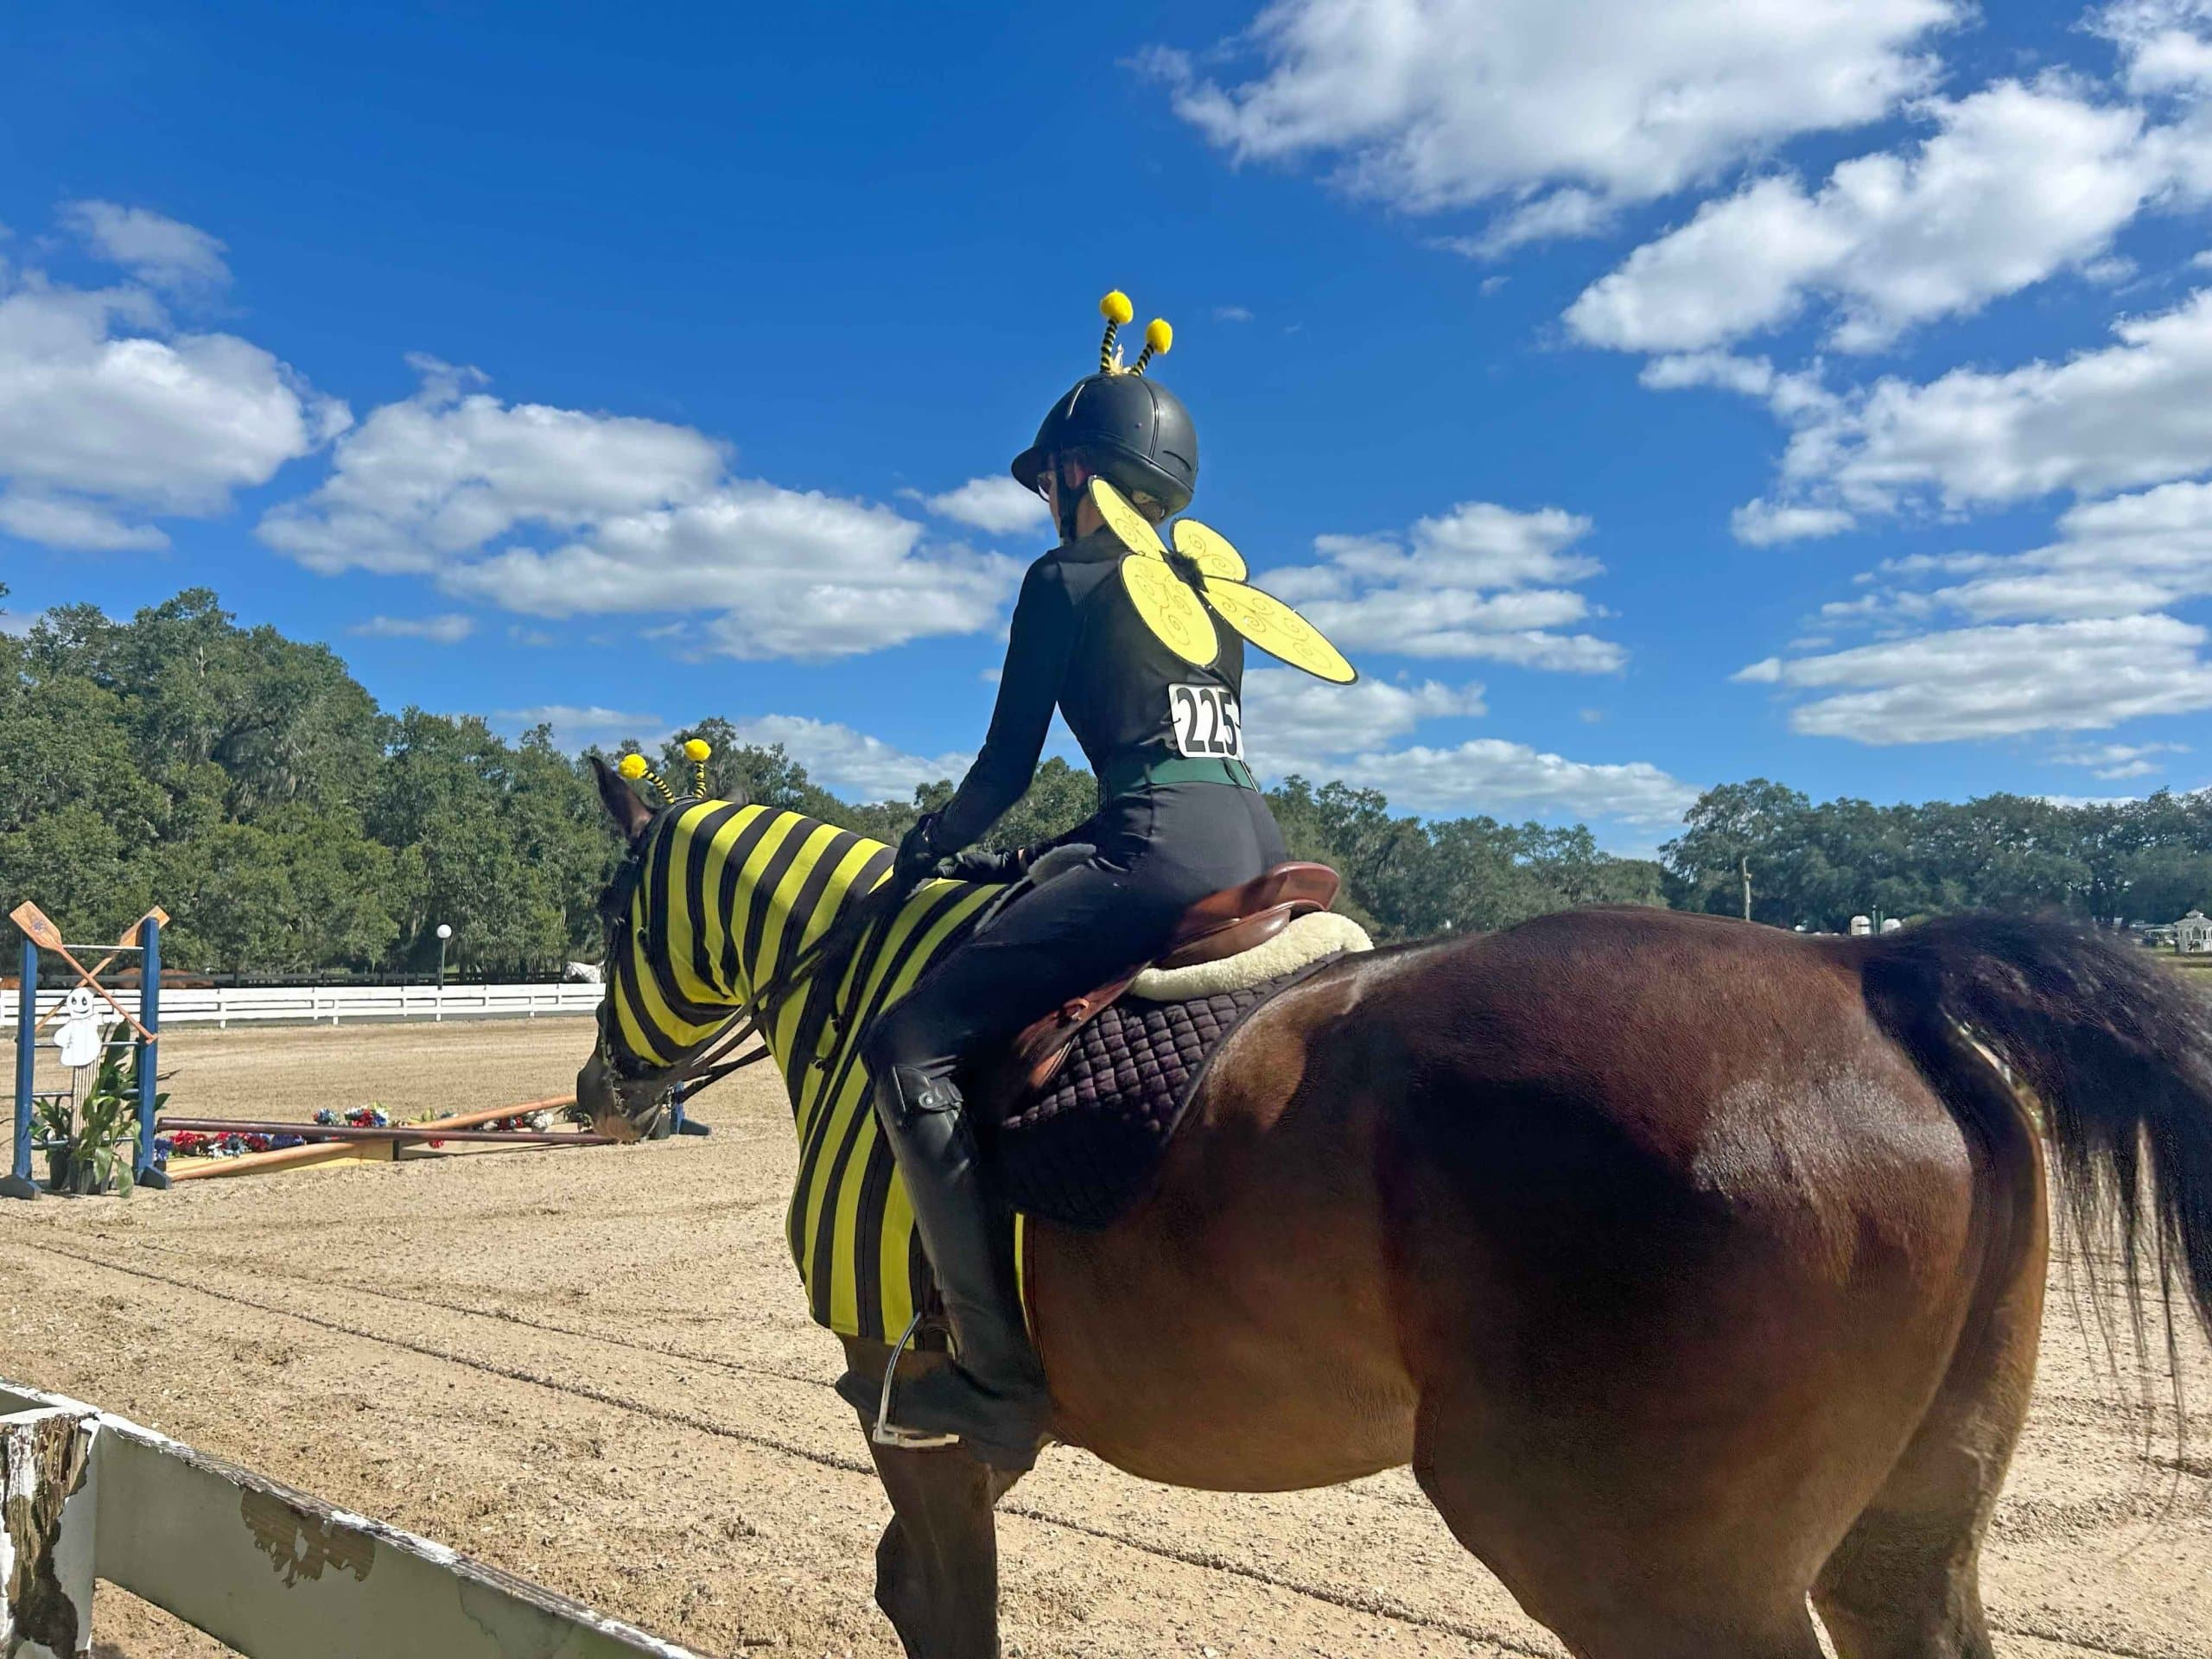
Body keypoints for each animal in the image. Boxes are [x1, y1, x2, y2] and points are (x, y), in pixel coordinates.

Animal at [573, 761, 2212, 1659]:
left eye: (605, 912)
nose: (602, 1088)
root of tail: (1865, 968)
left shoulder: (910, 1421)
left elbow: (937, 1607)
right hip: (1905, 1544)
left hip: (1656, 1576)